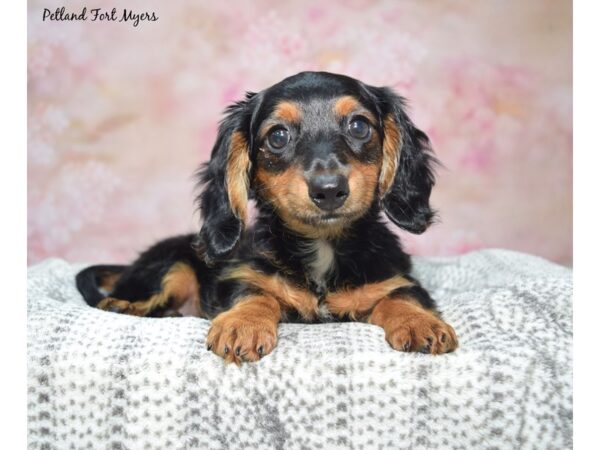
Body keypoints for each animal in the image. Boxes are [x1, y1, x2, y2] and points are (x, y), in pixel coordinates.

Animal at [76, 72, 460, 364]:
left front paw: (419, 323)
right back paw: (125, 305)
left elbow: (403, 296)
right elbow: (255, 294)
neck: (322, 247)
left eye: (358, 126)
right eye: (277, 136)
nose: (329, 189)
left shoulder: (396, 279)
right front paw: (242, 326)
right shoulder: (239, 275)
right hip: (172, 267)